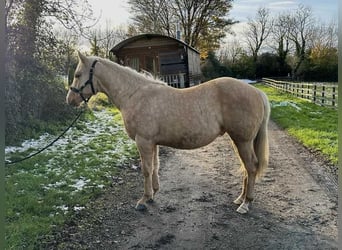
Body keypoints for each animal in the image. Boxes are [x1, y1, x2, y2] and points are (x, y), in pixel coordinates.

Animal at [67, 51, 270, 214]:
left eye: (77, 74)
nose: (70, 100)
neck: (134, 94)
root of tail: (257, 92)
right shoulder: (152, 142)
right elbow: (155, 167)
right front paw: (153, 194)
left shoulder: (143, 141)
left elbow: (146, 170)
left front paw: (143, 199)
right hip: (239, 141)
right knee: (246, 168)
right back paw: (240, 198)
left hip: (243, 141)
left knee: (251, 167)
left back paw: (245, 204)